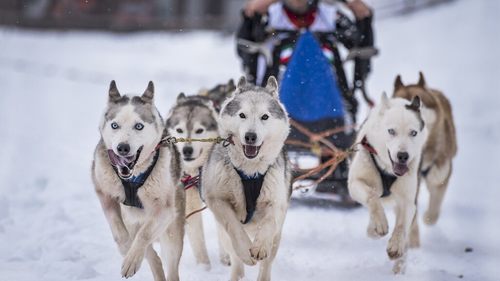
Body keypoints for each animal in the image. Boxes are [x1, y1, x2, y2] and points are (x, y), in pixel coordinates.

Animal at [91, 80, 185, 278]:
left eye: (139, 126)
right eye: (115, 125)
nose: (122, 148)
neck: (132, 177)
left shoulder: (164, 210)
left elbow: (145, 234)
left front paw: (132, 258)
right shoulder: (104, 194)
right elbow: (118, 231)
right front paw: (127, 251)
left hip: (171, 233)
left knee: (170, 264)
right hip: (132, 221)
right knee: (153, 258)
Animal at [167, 93, 231, 268]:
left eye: (199, 130)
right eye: (179, 130)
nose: (187, 150)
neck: (198, 170)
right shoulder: (190, 206)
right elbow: (199, 243)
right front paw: (204, 268)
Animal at [200, 75, 292, 278]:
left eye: (265, 117)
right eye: (242, 115)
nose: (251, 136)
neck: (250, 173)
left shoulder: (276, 203)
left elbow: (268, 223)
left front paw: (259, 246)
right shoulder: (217, 200)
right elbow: (233, 225)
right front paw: (245, 249)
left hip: (277, 237)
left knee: (267, 264)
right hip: (224, 235)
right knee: (235, 260)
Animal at [348, 92, 430, 274]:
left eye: (413, 133)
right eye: (391, 131)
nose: (403, 155)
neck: (387, 169)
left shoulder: (408, 201)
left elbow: (401, 225)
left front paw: (396, 245)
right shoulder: (355, 183)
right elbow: (372, 195)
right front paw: (379, 222)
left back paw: (399, 268)